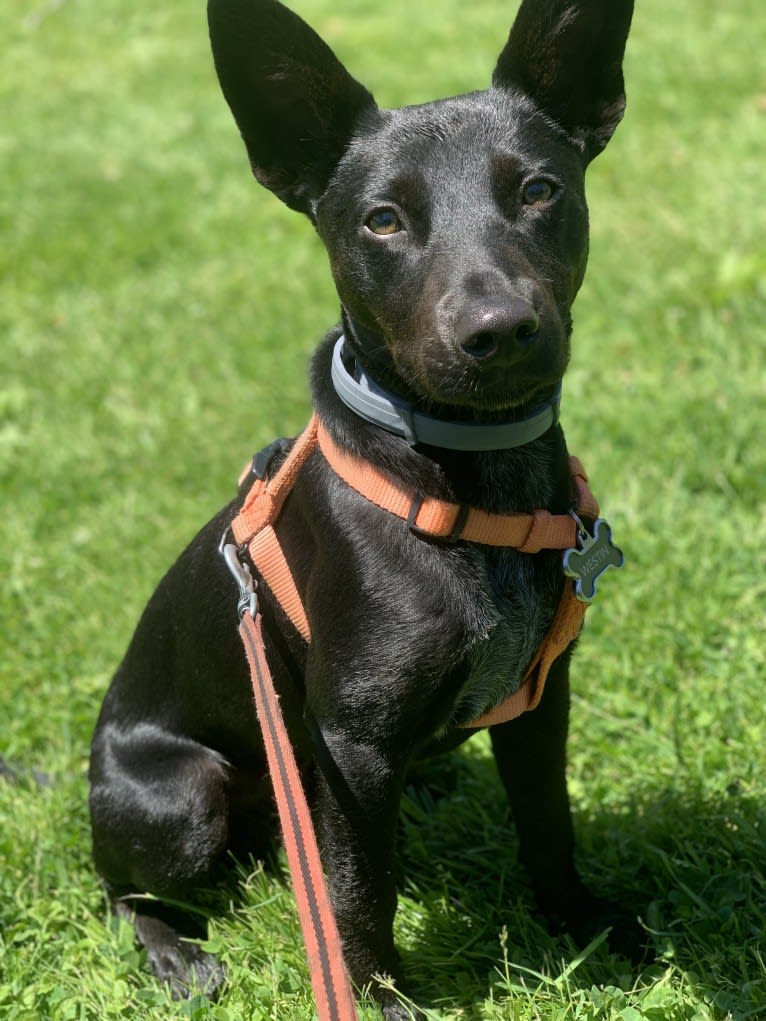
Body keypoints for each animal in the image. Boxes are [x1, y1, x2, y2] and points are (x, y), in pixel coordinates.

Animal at [88, 1, 641, 1012]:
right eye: (382, 219)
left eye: (540, 190)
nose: (500, 332)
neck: (463, 477)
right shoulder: (352, 745)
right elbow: (358, 891)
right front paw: (381, 994)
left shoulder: (541, 699)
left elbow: (549, 824)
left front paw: (581, 921)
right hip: (185, 796)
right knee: (123, 888)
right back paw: (176, 952)